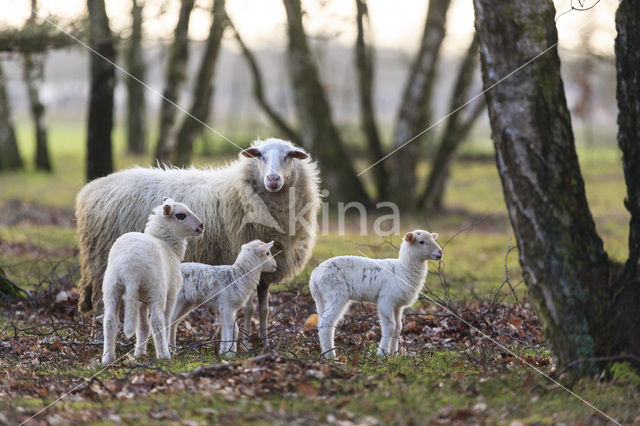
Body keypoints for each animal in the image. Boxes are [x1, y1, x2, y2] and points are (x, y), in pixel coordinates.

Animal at [100, 198, 202, 364]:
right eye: (181, 215)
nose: (201, 226)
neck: (167, 244)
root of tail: (130, 268)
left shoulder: (141, 300)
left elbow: (143, 327)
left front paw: (139, 353)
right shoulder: (172, 293)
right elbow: (166, 321)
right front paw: (167, 348)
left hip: (113, 286)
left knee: (110, 321)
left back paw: (107, 358)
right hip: (156, 289)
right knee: (157, 322)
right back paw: (164, 355)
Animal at [308, 230, 440, 360]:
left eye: (433, 239)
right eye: (421, 242)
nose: (440, 253)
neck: (401, 270)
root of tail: (314, 276)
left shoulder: (397, 305)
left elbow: (398, 328)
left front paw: (395, 354)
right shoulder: (386, 300)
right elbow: (390, 327)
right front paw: (383, 353)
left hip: (325, 297)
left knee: (321, 322)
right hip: (336, 294)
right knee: (326, 323)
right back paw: (331, 356)